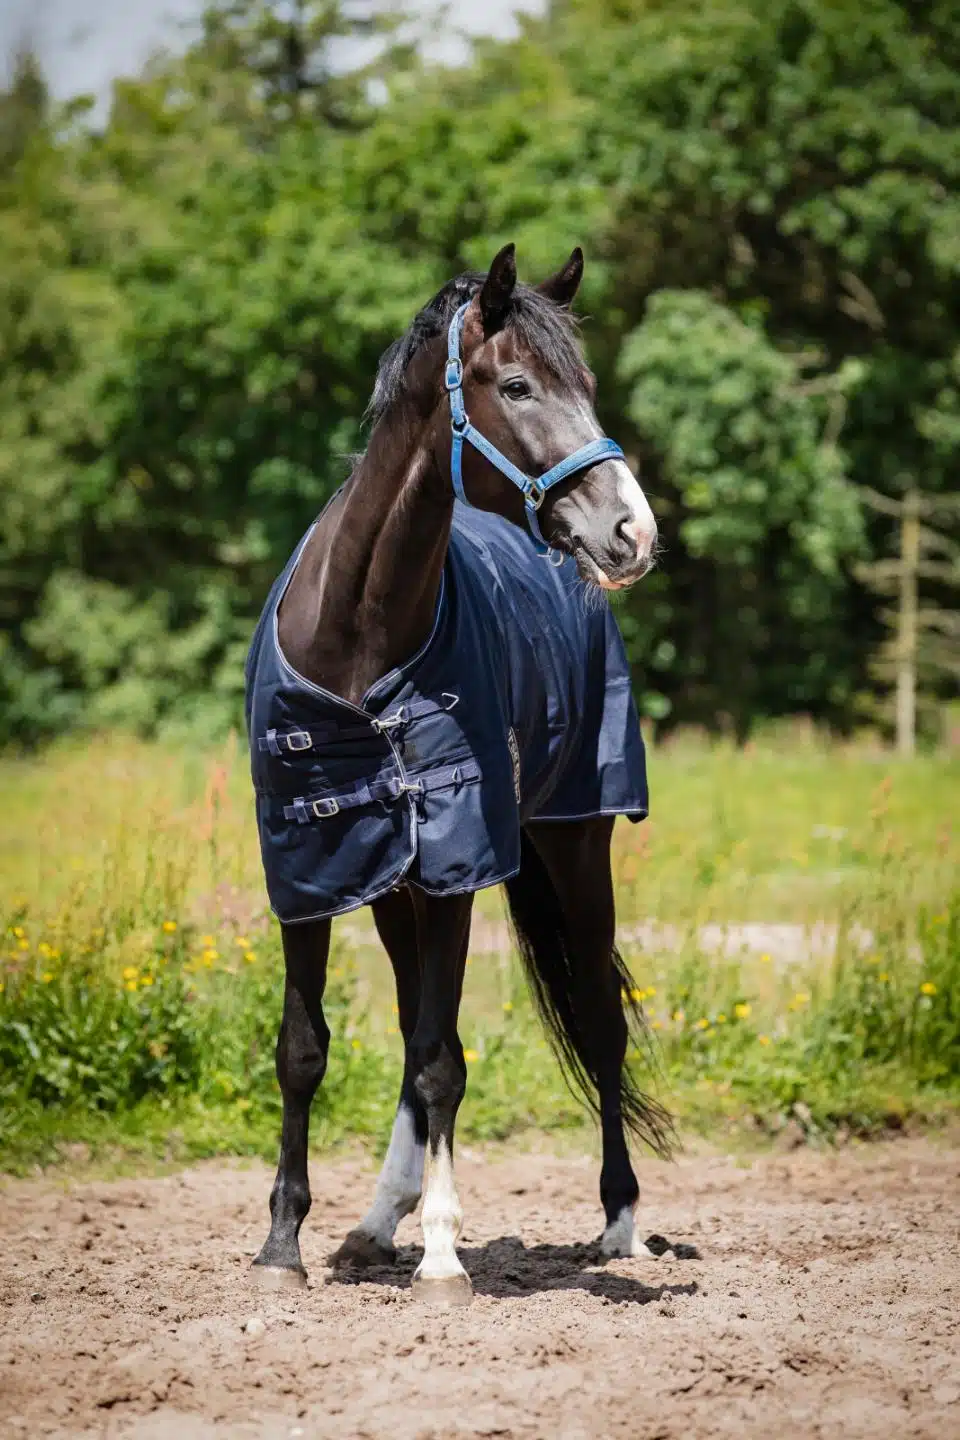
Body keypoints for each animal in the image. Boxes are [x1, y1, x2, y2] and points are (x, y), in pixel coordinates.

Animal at [244, 242, 674, 1306]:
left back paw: (619, 1224)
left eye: (587, 385)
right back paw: (373, 1223)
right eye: (516, 385)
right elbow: (305, 1050)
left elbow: (445, 1061)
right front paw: (283, 1245)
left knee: (597, 1023)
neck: (358, 634)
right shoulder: (307, 868)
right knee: (410, 1031)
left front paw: (442, 1253)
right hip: (394, 891)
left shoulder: (456, 867)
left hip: (573, 847)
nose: (633, 534)